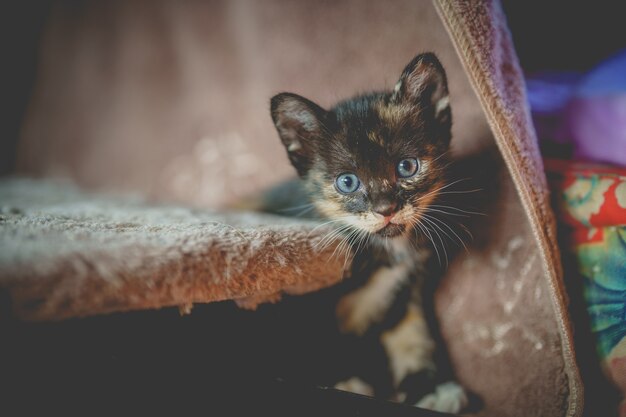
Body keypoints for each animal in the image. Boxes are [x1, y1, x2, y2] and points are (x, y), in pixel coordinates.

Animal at [268, 52, 468, 412]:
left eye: (407, 167)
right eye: (347, 182)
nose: (386, 209)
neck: (386, 251)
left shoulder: (404, 293)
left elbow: (414, 337)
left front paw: (428, 388)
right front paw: (340, 383)